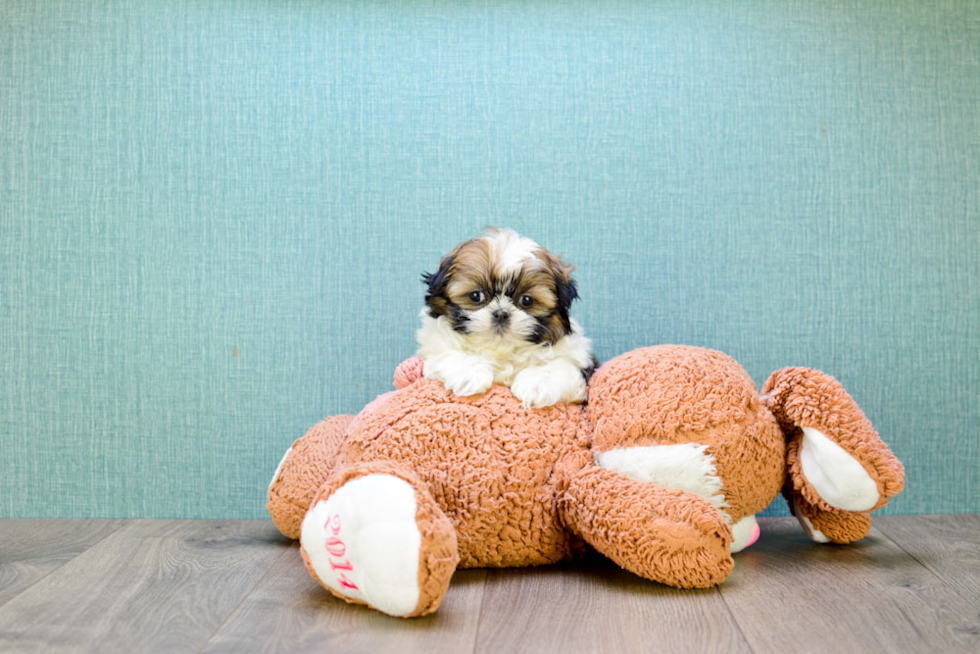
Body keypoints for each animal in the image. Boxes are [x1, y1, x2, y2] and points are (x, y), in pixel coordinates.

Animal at [416, 228, 596, 408]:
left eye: (527, 300)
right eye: (476, 296)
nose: (501, 313)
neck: (501, 350)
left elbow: (559, 366)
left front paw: (536, 384)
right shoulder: (435, 347)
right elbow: (448, 353)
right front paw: (469, 372)